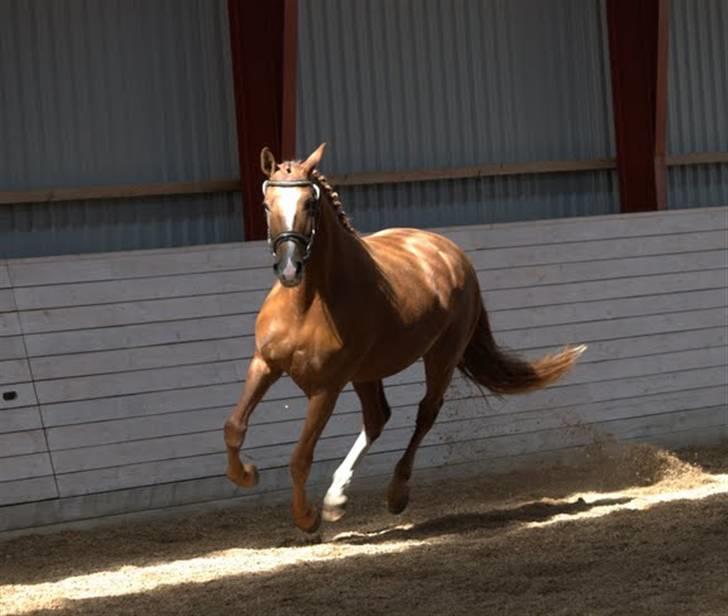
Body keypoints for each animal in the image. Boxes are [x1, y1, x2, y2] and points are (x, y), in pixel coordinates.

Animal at [223, 143, 584, 528]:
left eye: (310, 204)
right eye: (266, 205)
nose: (290, 269)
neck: (306, 303)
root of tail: (450, 251)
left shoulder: (326, 388)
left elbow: (300, 456)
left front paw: (307, 519)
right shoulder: (264, 365)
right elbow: (234, 427)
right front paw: (247, 475)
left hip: (441, 357)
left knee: (425, 413)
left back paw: (395, 493)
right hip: (367, 373)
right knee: (377, 418)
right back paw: (337, 498)